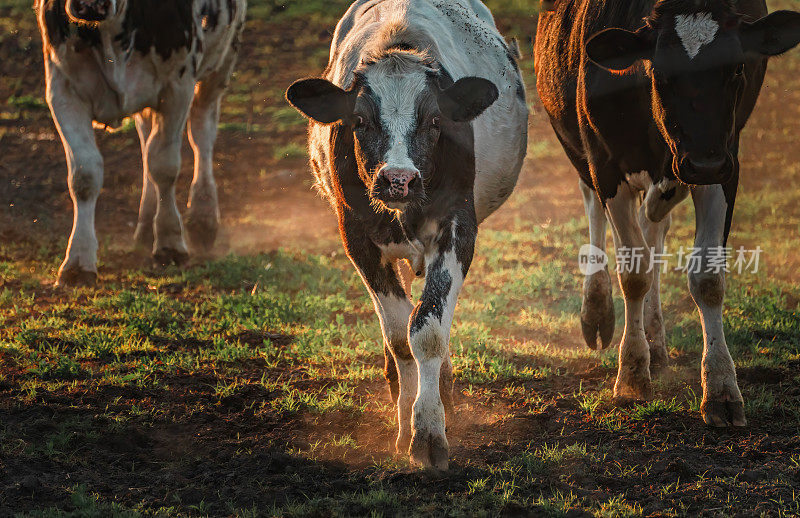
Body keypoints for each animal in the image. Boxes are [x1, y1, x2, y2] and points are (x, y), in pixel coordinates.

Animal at [284, 0, 528, 472]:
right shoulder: (357, 240)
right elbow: (399, 336)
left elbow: (427, 329)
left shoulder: (458, 231)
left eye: (434, 120)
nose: (398, 180)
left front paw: (429, 431)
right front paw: (404, 426)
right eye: (360, 120)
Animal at [536, 0, 800, 428]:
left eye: (737, 69)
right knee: (594, 209)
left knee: (653, 226)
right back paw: (598, 311)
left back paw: (656, 343)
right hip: (578, 149)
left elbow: (706, 278)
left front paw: (721, 388)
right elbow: (634, 272)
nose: (704, 163)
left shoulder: (726, 162)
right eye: (659, 73)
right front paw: (631, 375)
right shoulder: (605, 162)